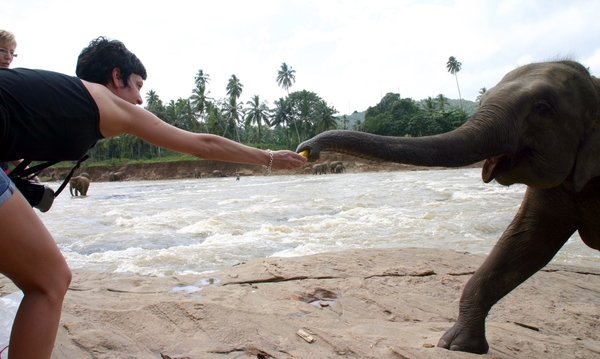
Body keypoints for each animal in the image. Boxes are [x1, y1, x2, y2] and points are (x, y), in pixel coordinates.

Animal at [298, 60, 600, 356]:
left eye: (542, 108)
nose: (307, 148)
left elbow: (528, 243)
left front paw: (455, 344)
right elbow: (526, 242)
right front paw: (456, 346)